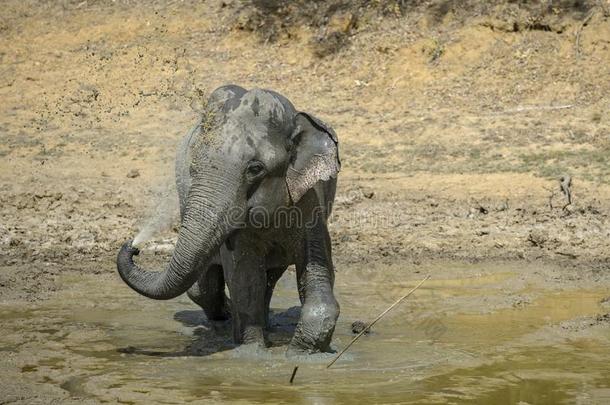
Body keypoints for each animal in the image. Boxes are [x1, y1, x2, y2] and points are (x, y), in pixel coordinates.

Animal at [115, 83, 342, 352]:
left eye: (255, 169)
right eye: (193, 167)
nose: (134, 246)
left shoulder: (311, 201)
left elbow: (317, 270)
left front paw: (301, 352)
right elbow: (245, 278)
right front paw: (251, 352)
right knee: (206, 288)